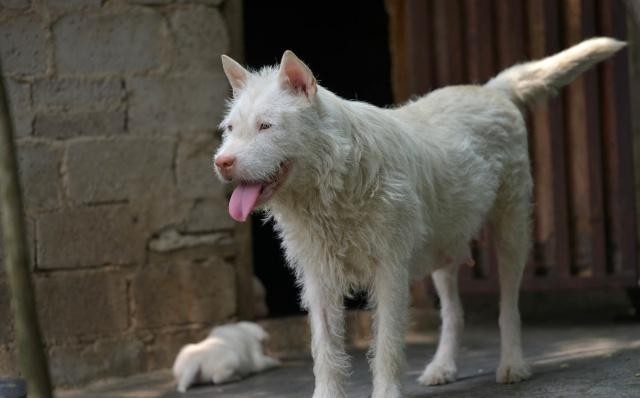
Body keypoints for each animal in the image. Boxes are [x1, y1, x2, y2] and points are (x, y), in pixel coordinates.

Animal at [212, 38, 624, 398]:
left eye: (266, 126)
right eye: (231, 129)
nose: (221, 163)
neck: (333, 183)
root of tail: (490, 91)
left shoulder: (390, 273)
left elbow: (388, 345)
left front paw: (386, 392)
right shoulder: (319, 279)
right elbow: (326, 350)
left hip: (512, 233)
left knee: (509, 306)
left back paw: (512, 364)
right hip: (445, 250)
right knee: (454, 313)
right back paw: (442, 367)